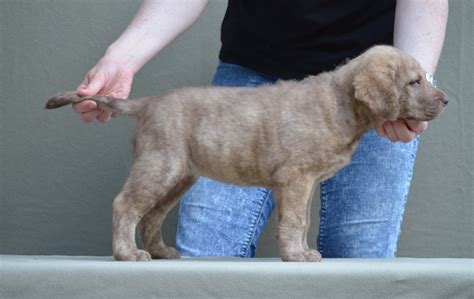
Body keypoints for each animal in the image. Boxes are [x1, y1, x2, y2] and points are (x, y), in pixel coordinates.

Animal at [45, 45, 448, 262]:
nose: (445, 100)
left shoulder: (303, 184)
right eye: (413, 82)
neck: (340, 104)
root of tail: (149, 103)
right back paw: (127, 253)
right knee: (126, 205)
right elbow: (296, 221)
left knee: (150, 216)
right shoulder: (296, 178)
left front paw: (301, 252)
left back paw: (160, 251)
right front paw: (296, 255)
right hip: (160, 165)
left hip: (179, 176)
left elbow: (302, 220)